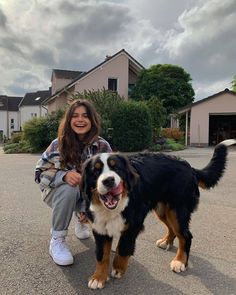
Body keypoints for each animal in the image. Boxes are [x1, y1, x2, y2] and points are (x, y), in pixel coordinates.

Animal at [81, 139, 236, 290]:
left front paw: (118, 269)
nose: (108, 180)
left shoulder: (133, 224)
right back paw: (166, 242)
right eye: (95, 171)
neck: (114, 207)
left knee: (185, 235)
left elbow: (123, 248)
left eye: (116, 168)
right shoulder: (100, 227)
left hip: (178, 210)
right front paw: (98, 277)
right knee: (173, 230)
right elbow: (102, 255)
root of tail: (188, 166)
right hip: (163, 210)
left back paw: (180, 261)